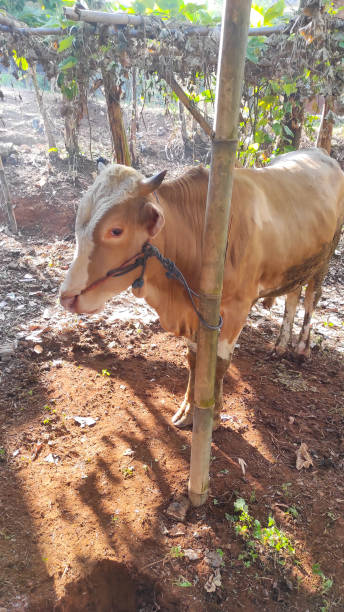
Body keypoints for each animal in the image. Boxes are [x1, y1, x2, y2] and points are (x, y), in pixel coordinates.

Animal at [59, 148, 344, 426]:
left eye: (116, 230)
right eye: (79, 222)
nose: (67, 297)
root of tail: (322, 154)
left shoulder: (236, 309)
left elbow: (220, 363)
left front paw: (213, 415)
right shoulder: (194, 310)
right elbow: (195, 361)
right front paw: (189, 410)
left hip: (324, 260)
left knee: (312, 298)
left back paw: (301, 348)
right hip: (298, 264)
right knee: (293, 297)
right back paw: (280, 345)